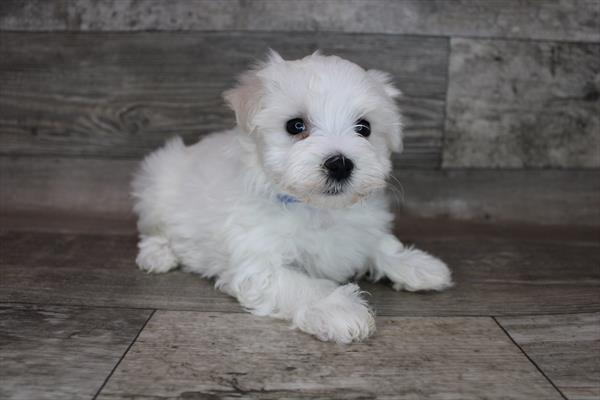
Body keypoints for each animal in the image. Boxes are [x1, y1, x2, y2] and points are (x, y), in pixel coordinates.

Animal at [131, 51, 450, 342]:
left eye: (364, 128)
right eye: (295, 125)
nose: (340, 164)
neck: (317, 208)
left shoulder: (363, 228)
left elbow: (382, 244)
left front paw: (416, 265)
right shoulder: (260, 265)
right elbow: (306, 286)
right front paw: (339, 309)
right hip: (156, 182)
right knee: (153, 230)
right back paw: (158, 255)